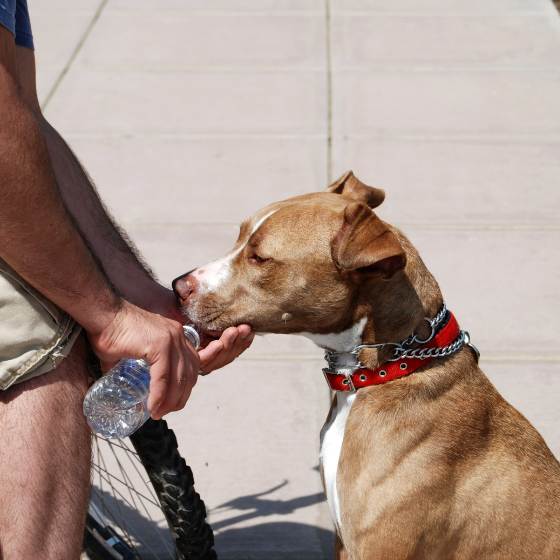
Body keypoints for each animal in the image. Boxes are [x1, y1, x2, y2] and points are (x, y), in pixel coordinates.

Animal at [174, 172, 560, 560]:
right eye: (238, 238)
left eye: (259, 257)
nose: (178, 286)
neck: (385, 369)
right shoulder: (343, 540)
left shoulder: (379, 546)